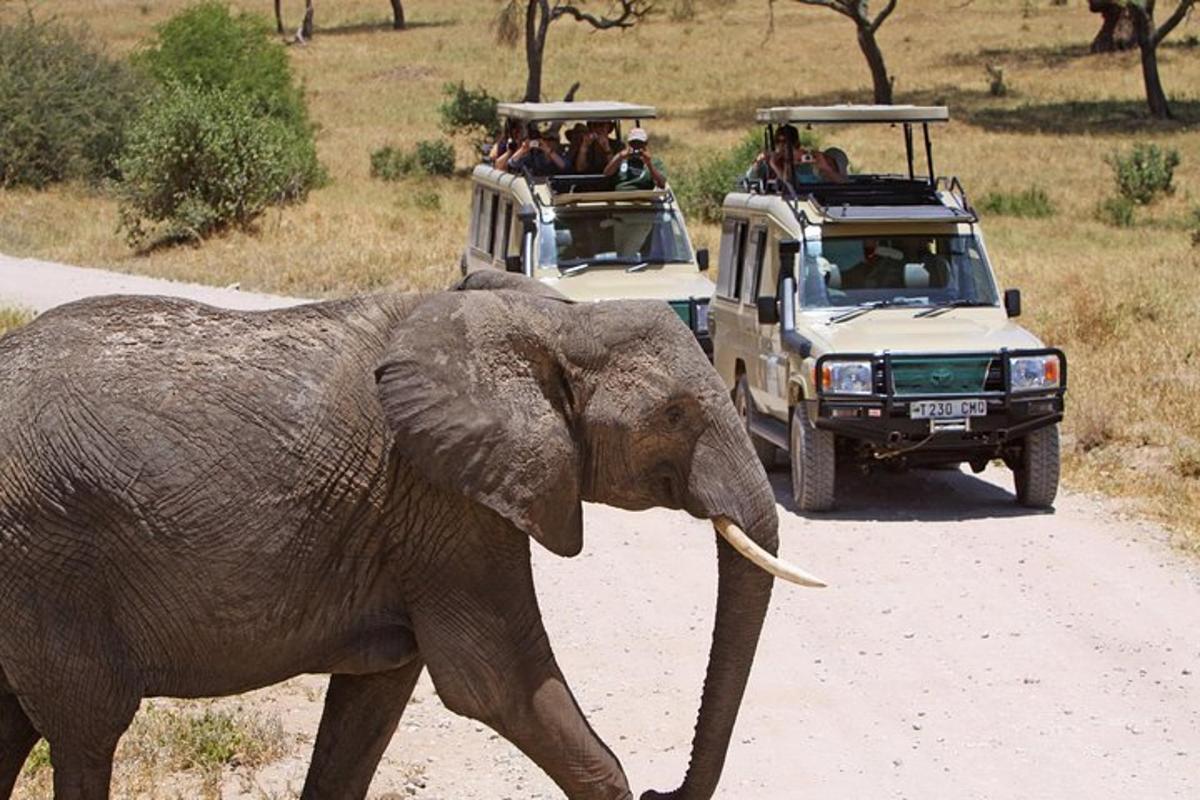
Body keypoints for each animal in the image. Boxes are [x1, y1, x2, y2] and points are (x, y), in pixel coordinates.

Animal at [0, 273, 820, 800]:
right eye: (676, 415)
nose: (663, 792)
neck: (546, 320)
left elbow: (374, 704)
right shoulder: (444, 500)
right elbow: (497, 685)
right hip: (45, 554)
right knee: (85, 728)